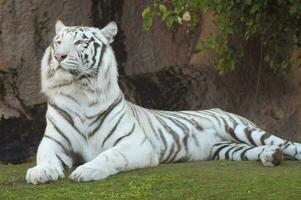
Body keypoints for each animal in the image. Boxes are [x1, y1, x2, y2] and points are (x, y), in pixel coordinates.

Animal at [25, 20, 300, 184]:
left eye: (81, 42)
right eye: (58, 42)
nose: (59, 56)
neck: (80, 93)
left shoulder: (135, 144)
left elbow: (110, 156)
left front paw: (87, 170)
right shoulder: (54, 141)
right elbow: (45, 155)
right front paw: (41, 172)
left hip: (241, 129)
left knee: (287, 143)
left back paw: (279, 152)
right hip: (226, 148)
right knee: (259, 150)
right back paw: (271, 157)